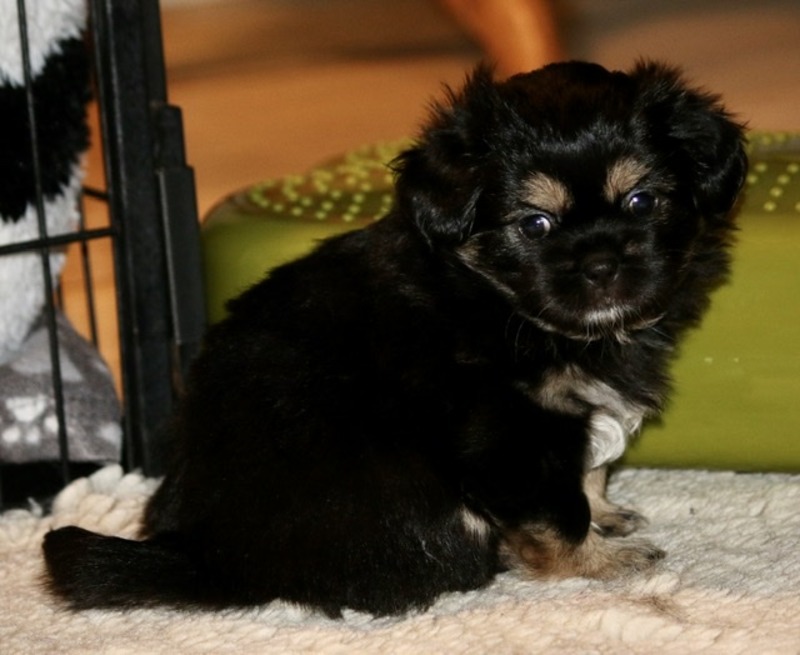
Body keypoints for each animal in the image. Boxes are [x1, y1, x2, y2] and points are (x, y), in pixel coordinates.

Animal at [43, 61, 746, 618]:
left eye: (642, 202)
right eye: (535, 224)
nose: (602, 263)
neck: (497, 300)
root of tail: (208, 557)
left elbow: (589, 470)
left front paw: (606, 514)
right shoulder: (505, 435)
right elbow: (555, 508)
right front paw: (598, 561)